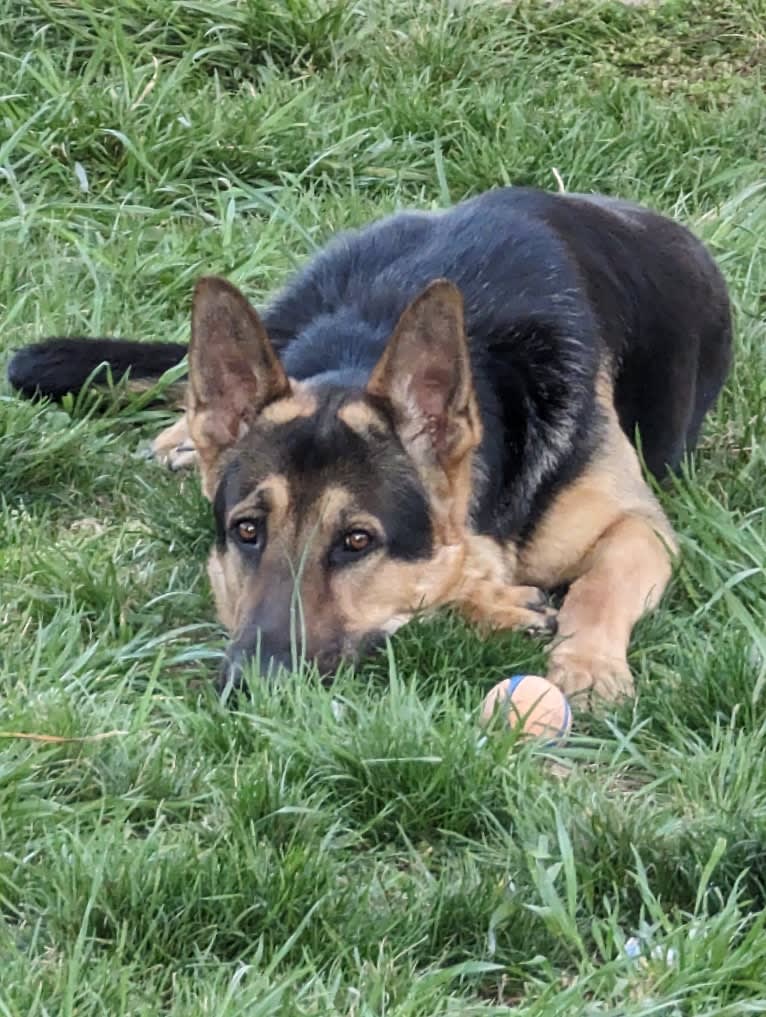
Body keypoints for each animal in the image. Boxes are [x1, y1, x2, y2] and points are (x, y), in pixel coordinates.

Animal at [8, 187, 732, 703]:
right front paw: (492, 601)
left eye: (357, 540)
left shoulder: (639, 526)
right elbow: (444, 577)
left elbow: (597, 586)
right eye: (247, 531)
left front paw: (587, 663)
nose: (254, 688)